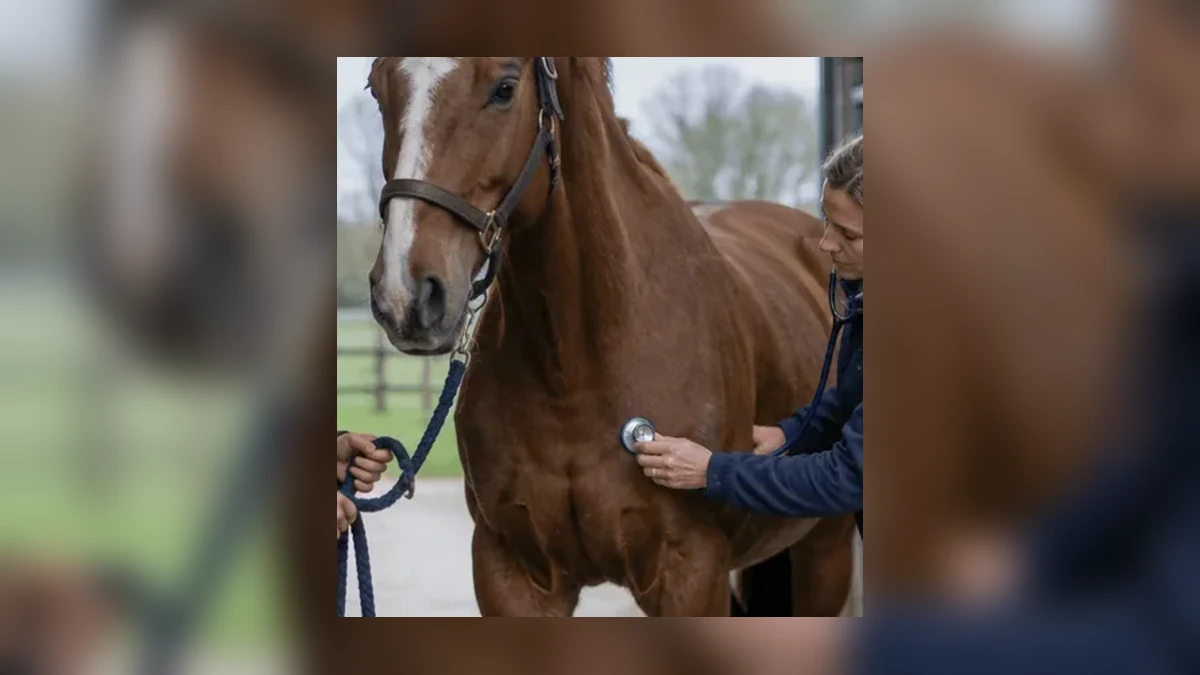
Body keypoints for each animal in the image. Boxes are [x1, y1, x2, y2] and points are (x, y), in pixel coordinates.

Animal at [366, 57, 855, 616]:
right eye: (377, 88)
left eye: (505, 88)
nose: (405, 297)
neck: (576, 366)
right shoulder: (510, 571)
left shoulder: (691, 571)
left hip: (824, 553)